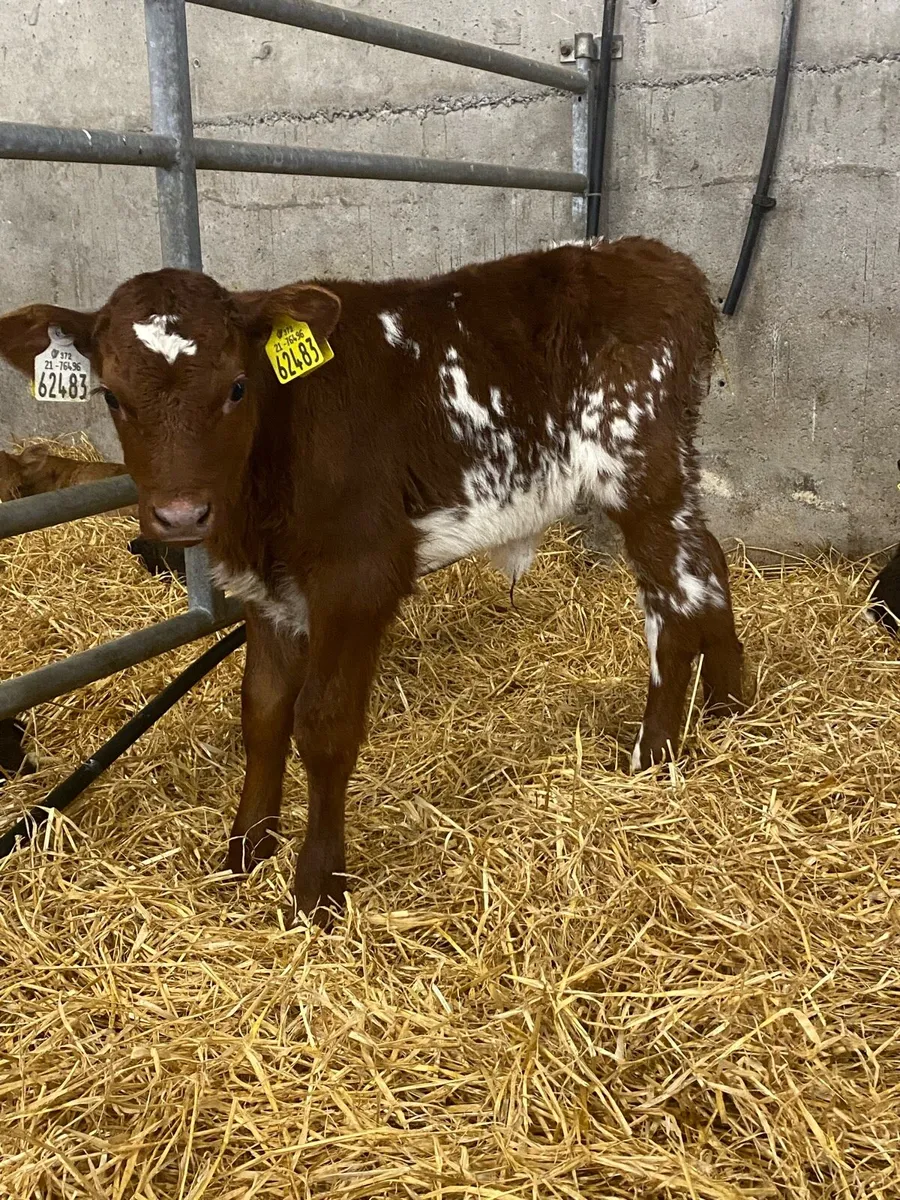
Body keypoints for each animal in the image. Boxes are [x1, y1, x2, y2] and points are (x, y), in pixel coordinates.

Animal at [0, 238, 745, 920]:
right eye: (112, 395)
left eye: (236, 386)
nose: (181, 514)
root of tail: (659, 257)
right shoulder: (267, 591)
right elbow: (262, 711)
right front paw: (245, 851)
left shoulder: (359, 576)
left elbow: (323, 724)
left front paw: (316, 890)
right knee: (708, 558)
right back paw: (728, 703)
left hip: (638, 465)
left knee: (674, 599)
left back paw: (655, 752)